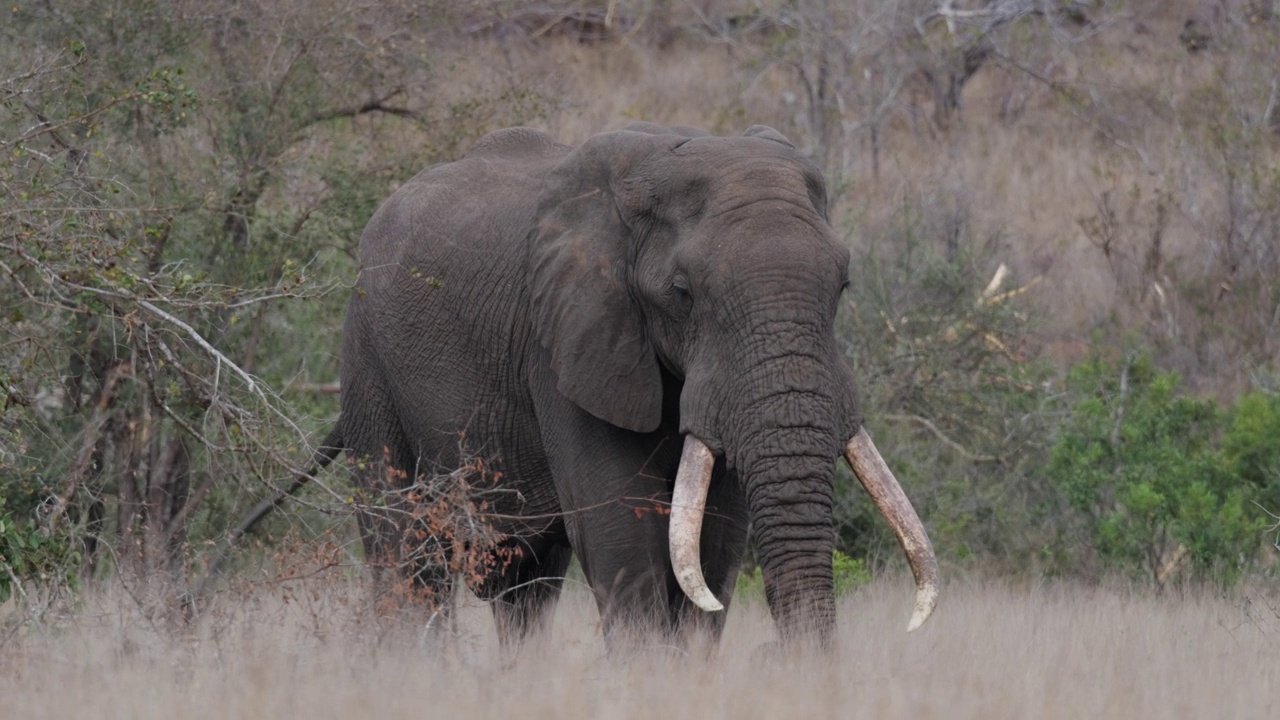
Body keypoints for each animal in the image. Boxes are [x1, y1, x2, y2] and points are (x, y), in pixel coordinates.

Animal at [320, 120, 942, 648]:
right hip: (366, 354)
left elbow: (715, 538)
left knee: (525, 583)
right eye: (683, 293)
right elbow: (619, 529)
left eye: (843, 285)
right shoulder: (565, 342)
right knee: (406, 551)